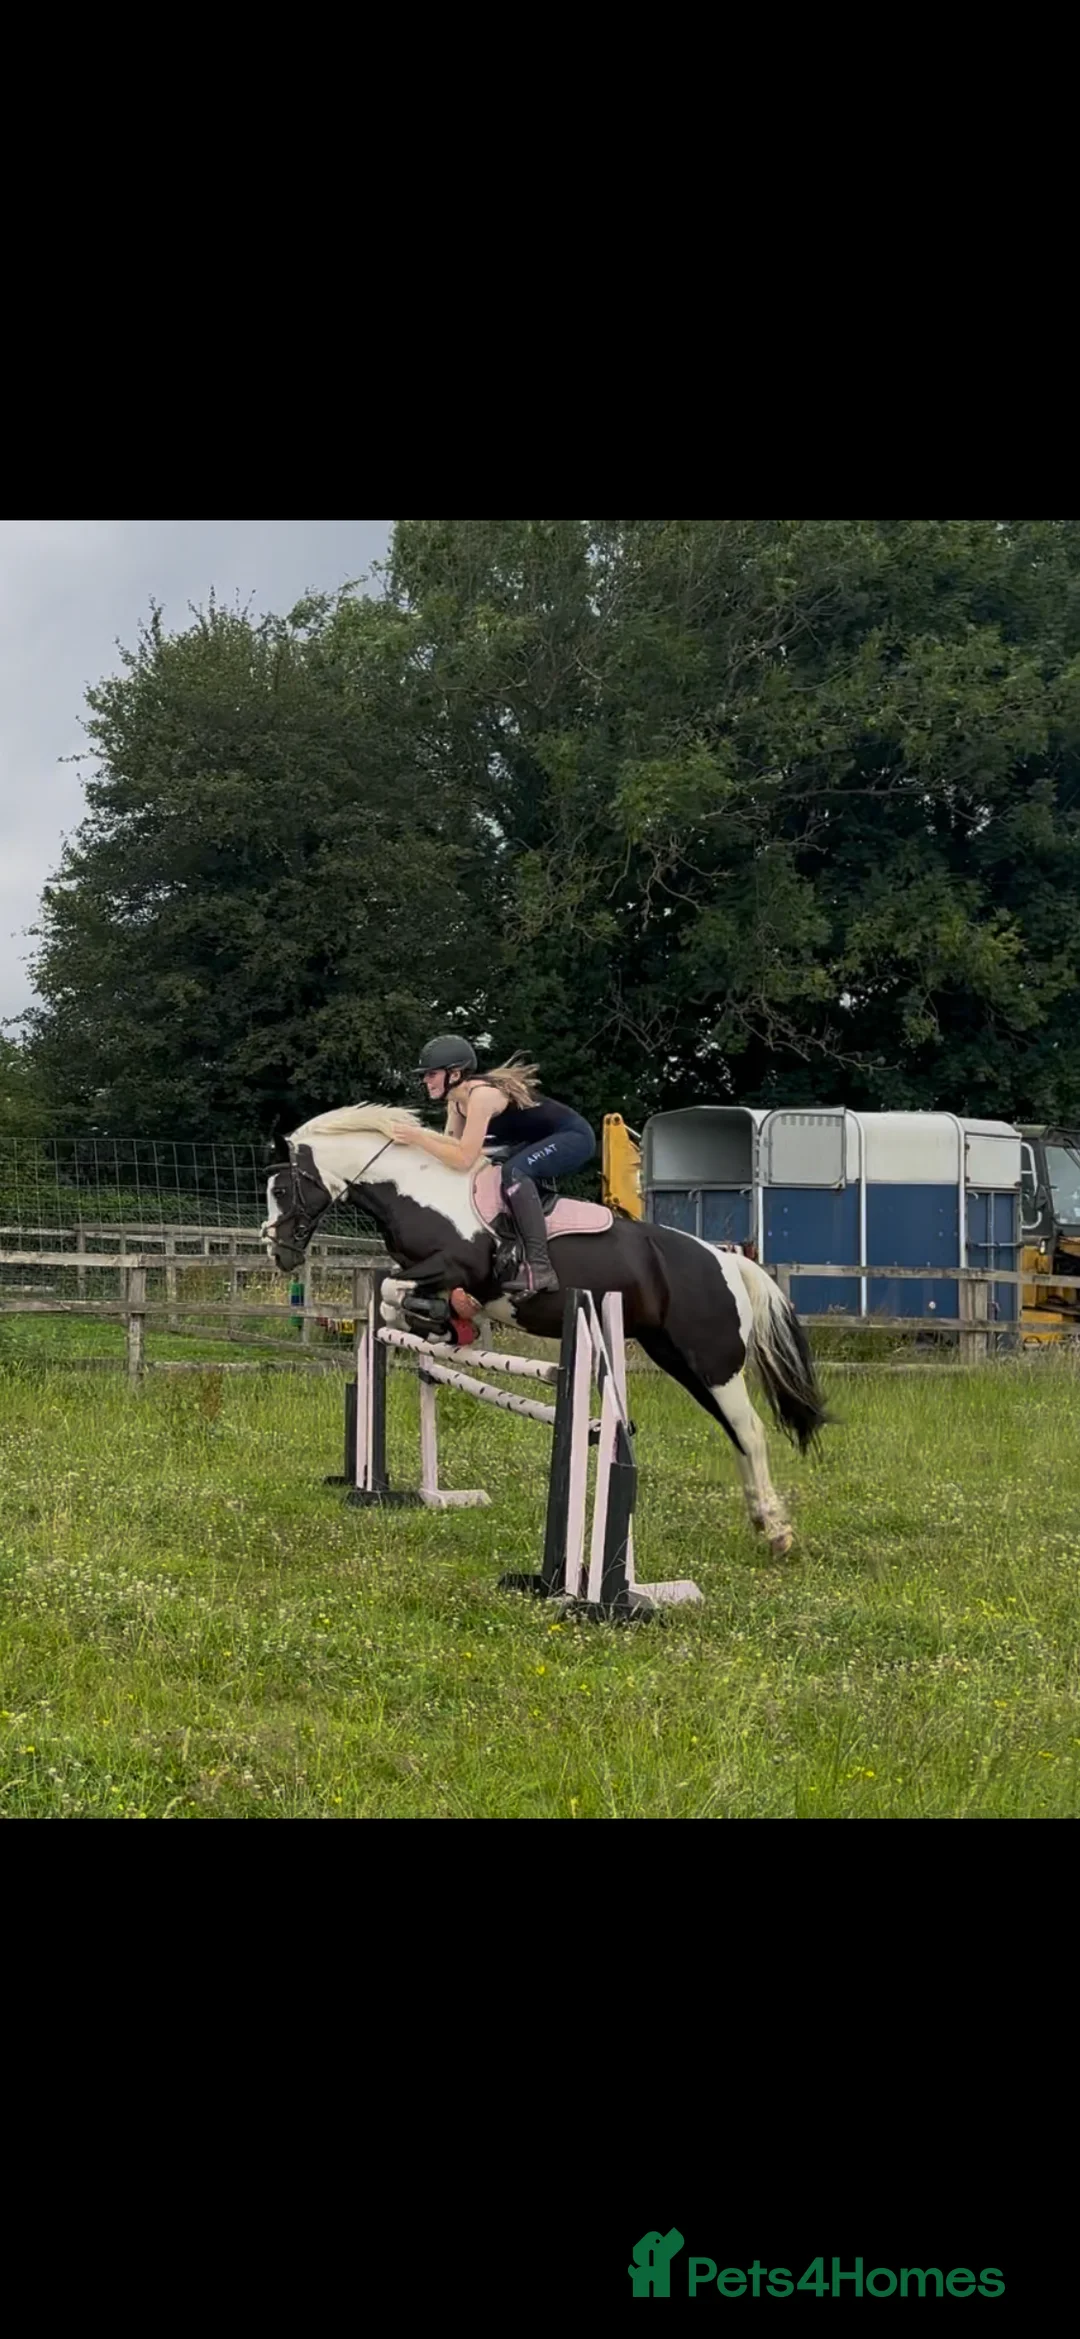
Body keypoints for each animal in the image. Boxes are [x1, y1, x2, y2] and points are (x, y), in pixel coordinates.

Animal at [262, 1103, 832, 1558]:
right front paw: (449, 1325)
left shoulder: (455, 1264)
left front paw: (448, 1320)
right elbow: (390, 1301)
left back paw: (777, 1531)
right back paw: (761, 1521)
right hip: (678, 1358)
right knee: (736, 1431)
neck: (416, 1188)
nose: (278, 1251)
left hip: (711, 1361)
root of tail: (727, 1260)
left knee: (750, 1430)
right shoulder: (425, 1271)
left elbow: (397, 1294)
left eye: (283, 1188)